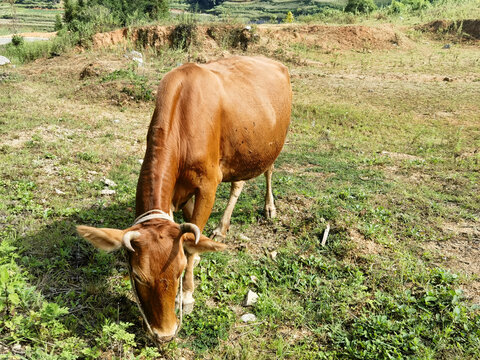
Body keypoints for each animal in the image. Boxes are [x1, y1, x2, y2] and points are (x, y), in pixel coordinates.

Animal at [77, 55, 290, 344]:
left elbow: (191, 240)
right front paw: (201, 252)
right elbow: (190, 232)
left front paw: (187, 294)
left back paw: (269, 208)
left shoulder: (208, 185)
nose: (165, 334)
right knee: (238, 183)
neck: (182, 123)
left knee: (268, 170)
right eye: (138, 276)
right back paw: (222, 227)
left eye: (177, 272)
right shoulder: (180, 192)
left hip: (271, 145)